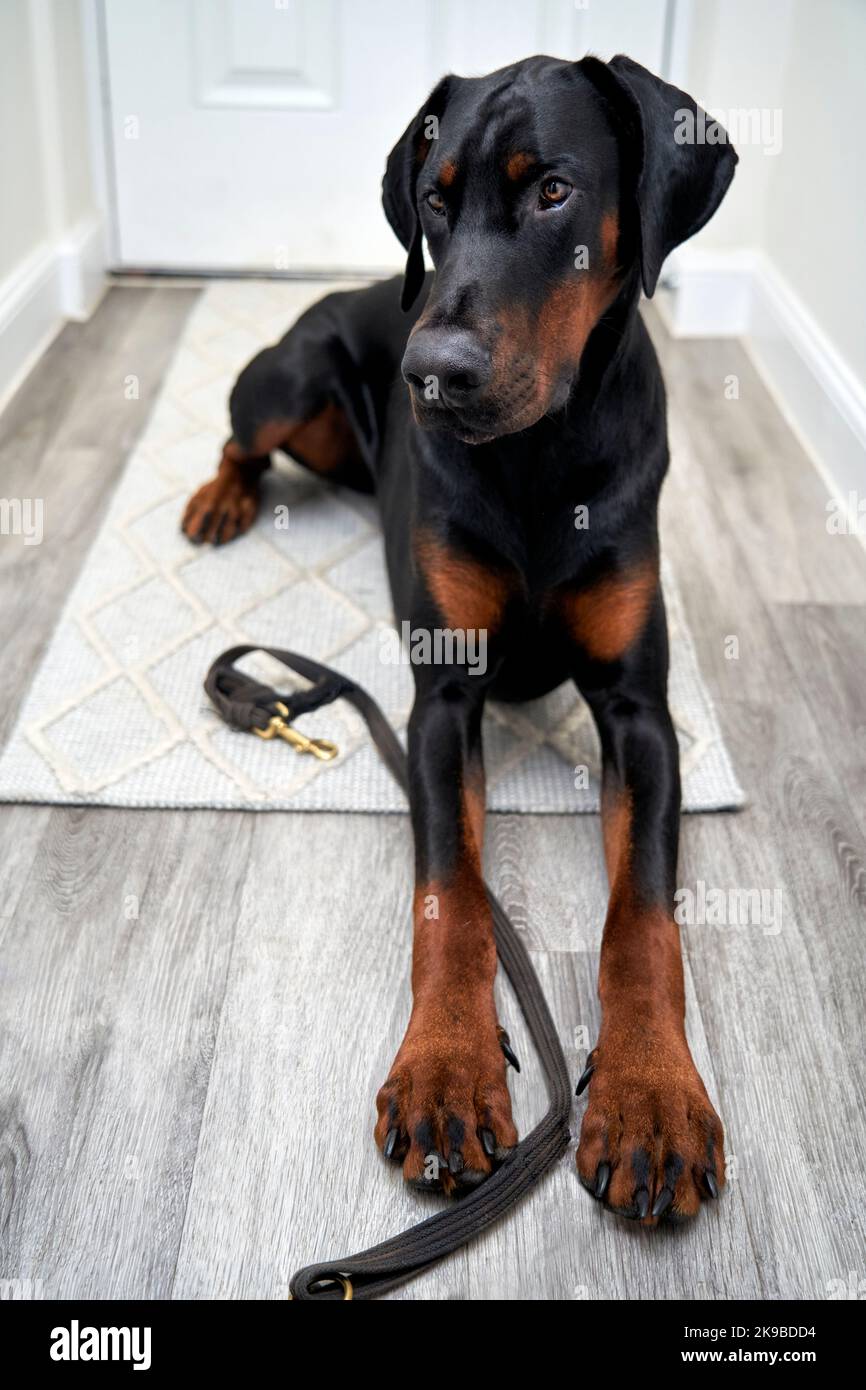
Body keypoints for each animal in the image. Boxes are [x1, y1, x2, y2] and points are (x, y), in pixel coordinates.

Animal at [183, 56, 739, 1228]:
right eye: (435, 200)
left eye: (553, 191)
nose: (429, 370)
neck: (538, 454)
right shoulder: (441, 702)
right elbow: (449, 892)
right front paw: (445, 1072)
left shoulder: (640, 712)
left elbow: (644, 915)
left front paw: (652, 1096)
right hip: (289, 380)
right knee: (239, 432)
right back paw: (220, 498)